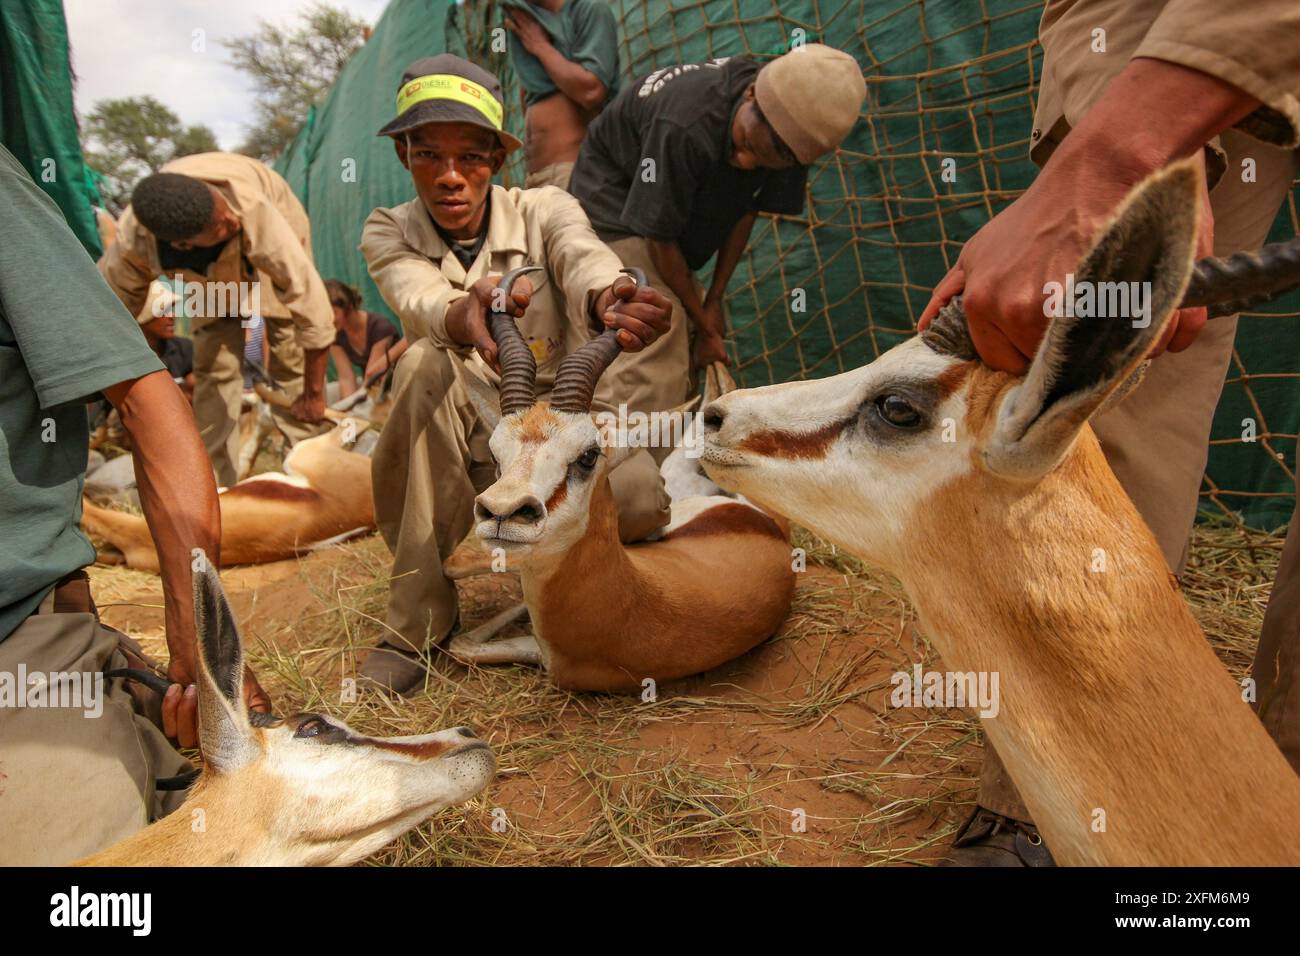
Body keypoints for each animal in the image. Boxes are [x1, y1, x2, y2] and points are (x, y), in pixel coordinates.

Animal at [441, 267, 795, 686]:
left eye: (588, 456)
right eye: (496, 454)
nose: (501, 513)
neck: (635, 605)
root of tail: (775, 529)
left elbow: (455, 573)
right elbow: (462, 641)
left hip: (680, 482)